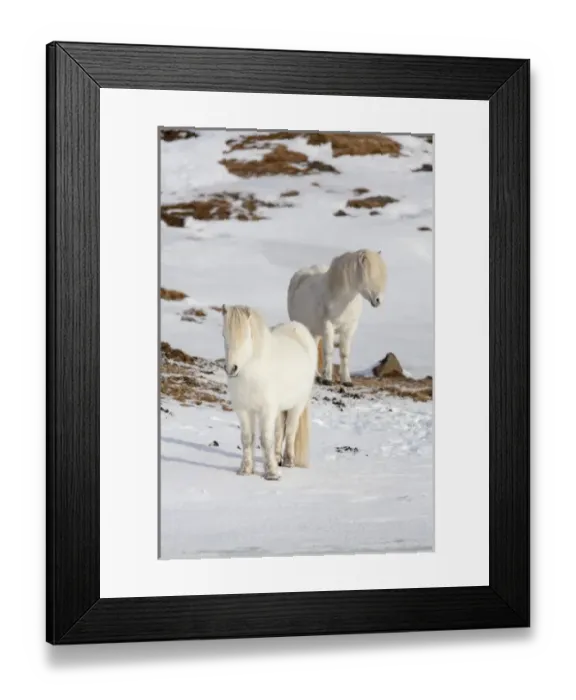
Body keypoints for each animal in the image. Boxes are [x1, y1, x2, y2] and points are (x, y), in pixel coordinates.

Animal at [221, 304, 317, 480]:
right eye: (224, 335)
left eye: (246, 336)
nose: (231, 368)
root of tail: (297, 328)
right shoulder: (243, 410)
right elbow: (247, 439)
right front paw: (245, 470)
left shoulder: (266, 410)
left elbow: (266, 440)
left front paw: (272, 473)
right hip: (278, 410)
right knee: (279, 432)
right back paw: (278, 457)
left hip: (297, 405)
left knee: (291, 430)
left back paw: (288, 461)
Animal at [287, 249, 387, 386]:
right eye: (369, 275)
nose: (378, 300)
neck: (342, 299)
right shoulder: (328, 326)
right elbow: (328, 351)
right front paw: (327, 379)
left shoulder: (349, 328)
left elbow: (344, 353)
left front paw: (347, 380)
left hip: (315, 332)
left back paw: (316, 376)